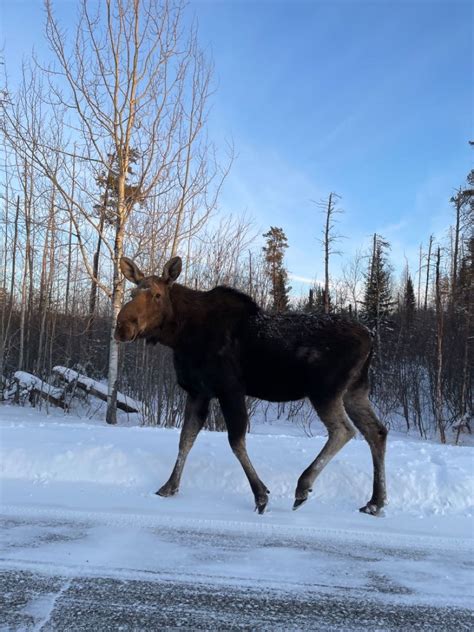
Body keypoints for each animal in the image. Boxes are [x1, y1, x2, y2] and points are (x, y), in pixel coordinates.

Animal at [116, 254, 386, 516]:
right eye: (132, 293)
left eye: (157, 295)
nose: (122, 326)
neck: (180, 336)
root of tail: (371, 337)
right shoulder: (198, 391)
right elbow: (185, 439)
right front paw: (169, 487)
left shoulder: (229, 389)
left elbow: (236, 442)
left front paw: (261, 495)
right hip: (355, 390)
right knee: (377, 431)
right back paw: (375, 502)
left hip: (325, 390)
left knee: (344, 430)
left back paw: (303, 486)